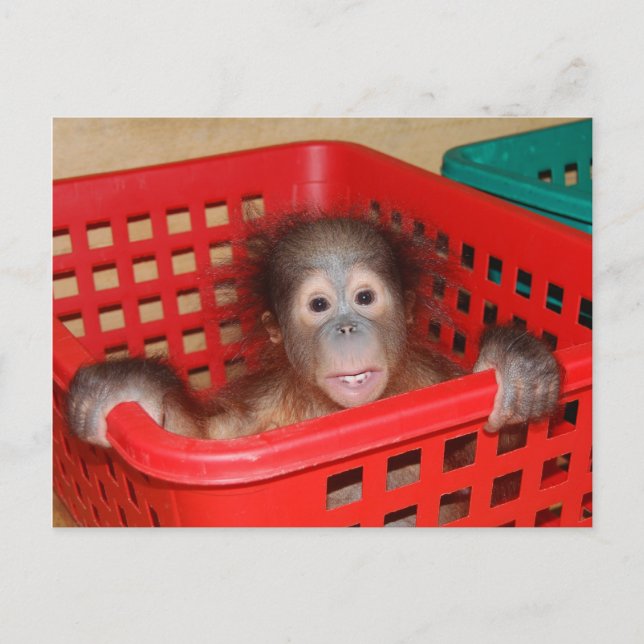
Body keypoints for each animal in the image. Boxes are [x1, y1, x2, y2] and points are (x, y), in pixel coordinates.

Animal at [65, 212, 561, 522]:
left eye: (365, 297)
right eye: (319, 305)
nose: (346, 327)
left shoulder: (433, 384)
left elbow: (499, 466)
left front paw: (516, 363)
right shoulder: (260, 415)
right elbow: (198, 440)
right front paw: (126, 388)